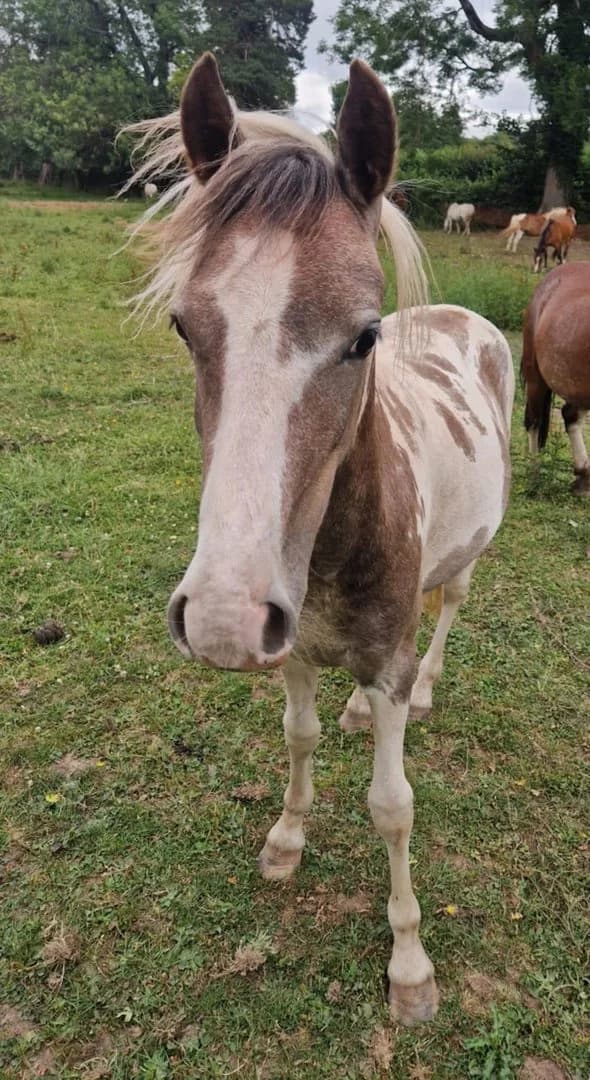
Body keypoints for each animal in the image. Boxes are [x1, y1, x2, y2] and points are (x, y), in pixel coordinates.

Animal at [125, 52, 515, 1026]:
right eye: (184, 325)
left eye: (364, 336)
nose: (221, 617)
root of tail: (469, 318)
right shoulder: (294, 645)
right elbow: (297, 738)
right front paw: (287, 837)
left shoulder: (384, 658)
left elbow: (392, 805)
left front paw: (410, 966)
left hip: (467, 560)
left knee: (448, 606)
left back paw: (425, 688)